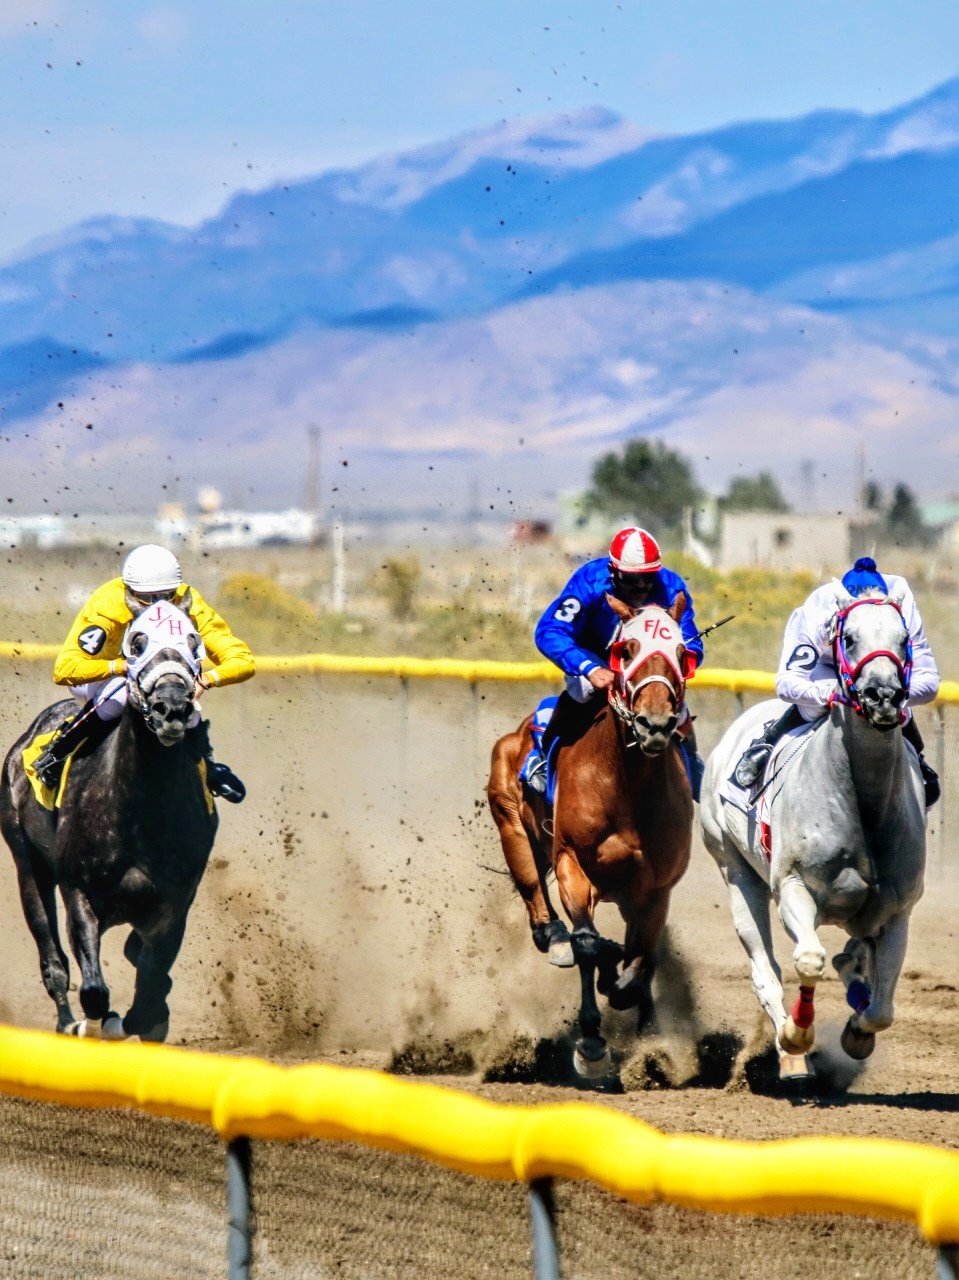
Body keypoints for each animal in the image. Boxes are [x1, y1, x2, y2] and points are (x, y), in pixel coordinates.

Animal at [0, 601, 217, 1039]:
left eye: (194, 640)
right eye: (137, 642)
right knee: (53, 962)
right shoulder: (79, 893)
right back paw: (66, 1022)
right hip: (27, 862)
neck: (140, 812)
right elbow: (95, 991)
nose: (173, 708)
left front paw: (146, 1018)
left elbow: (150, 992)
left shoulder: (173, 907)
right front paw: (96, 1025)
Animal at [489, 593, 691, 1075]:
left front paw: (651, 1036)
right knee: (540, 902)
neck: (626, 783)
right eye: (627, 650)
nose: (655, 724)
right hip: (512, 826)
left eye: (681, 652)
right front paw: (592, 1043)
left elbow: (639, 960)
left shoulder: (656, 888)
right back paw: (556, 940)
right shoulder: (573, 865)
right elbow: (589, 944)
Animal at [701, 586, 921, 1075]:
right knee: (765, 969)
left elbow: (881, 1009)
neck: (860, 802)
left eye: (903, 639)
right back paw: (791, 1057)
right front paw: (796, 1035)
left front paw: (857, 1032)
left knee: (853, 958)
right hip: (734, 870)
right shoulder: (794, 886)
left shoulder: (898, 910)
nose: (882, 696)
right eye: (850, 638)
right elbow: (807, 959)